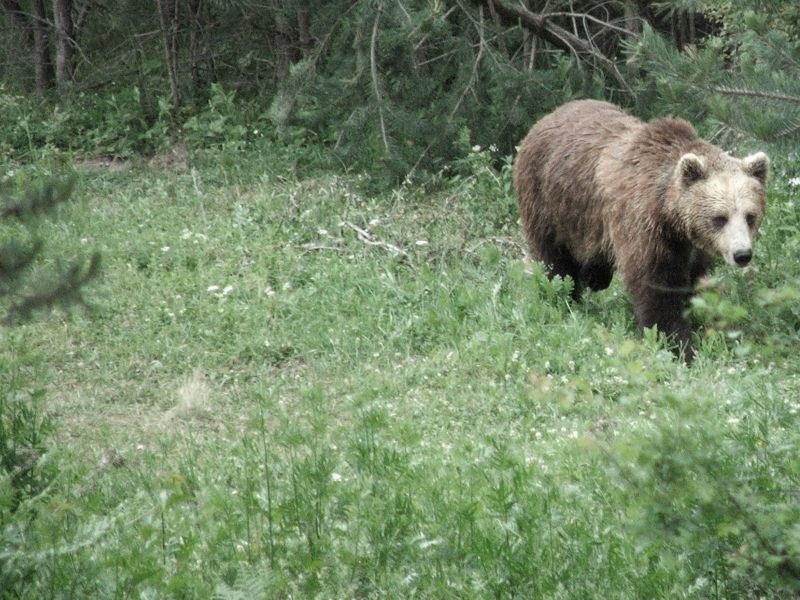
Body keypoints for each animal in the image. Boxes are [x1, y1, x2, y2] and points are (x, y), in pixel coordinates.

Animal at [512, 99, 768, 360]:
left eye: (750, 216)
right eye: (719, 218)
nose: (742, 254)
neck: (669, 215)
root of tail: (548, 116)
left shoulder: (691, 248)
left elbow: (691, 282)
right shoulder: (643, 226)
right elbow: (657, 289)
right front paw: (679, 345)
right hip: (551, 203)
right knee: (556, 262)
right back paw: (564, 297)